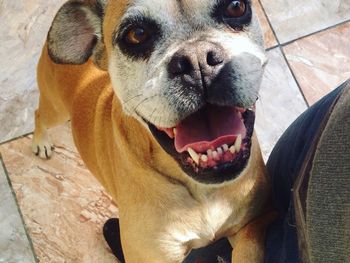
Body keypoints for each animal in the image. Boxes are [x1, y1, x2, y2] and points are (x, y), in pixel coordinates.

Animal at [33, 1, 276, 262]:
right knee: (38, 114)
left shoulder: (255, 221)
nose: (197, 59)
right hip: (55, 110)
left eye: (236, 7)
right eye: (137, 34)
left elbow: (248, 250)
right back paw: (41, 142)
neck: (201, 190)